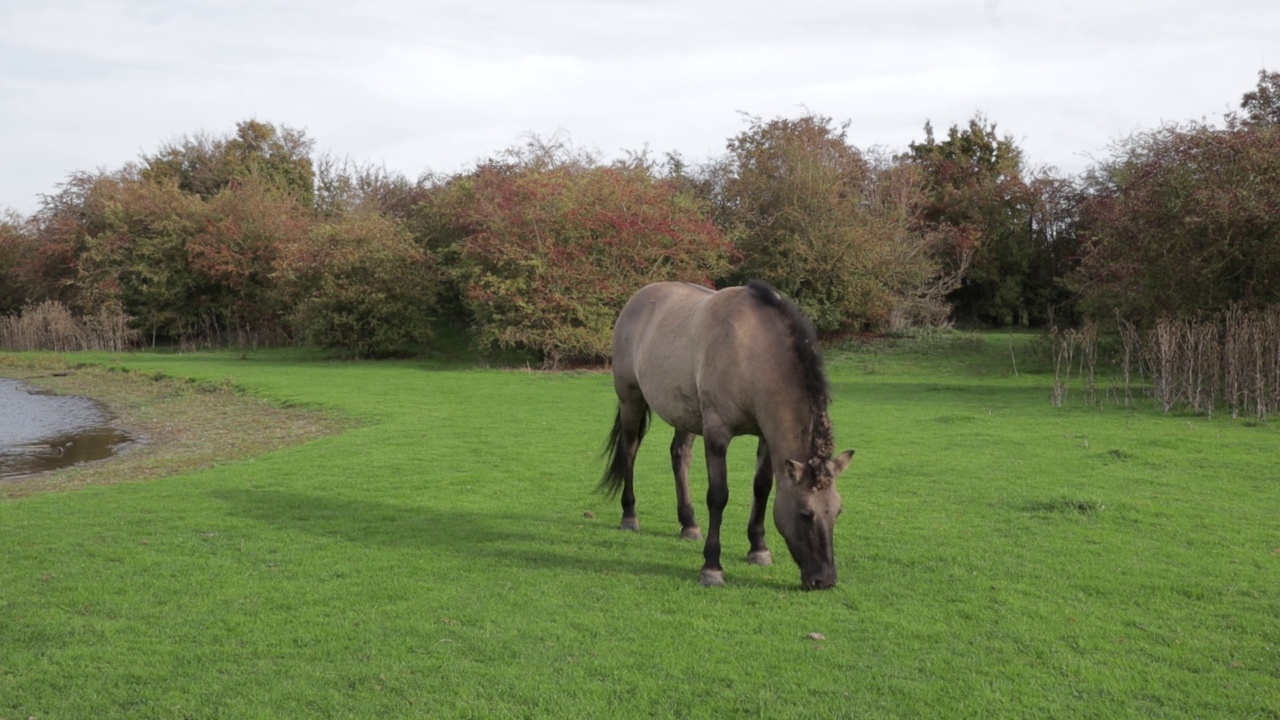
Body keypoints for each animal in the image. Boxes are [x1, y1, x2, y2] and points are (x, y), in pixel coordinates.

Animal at [596, 278, 855, 586]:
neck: (751, 349)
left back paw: (689, 524)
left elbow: (762, 488)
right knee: (630, 452)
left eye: (837, 511)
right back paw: (629, 515)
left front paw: (758, 549)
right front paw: (712, 567)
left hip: (685, 413)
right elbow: (718, 496)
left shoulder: (765, 437)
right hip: (631, 400)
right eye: (806, 513)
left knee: (679, 457)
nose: (824, 579)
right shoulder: (717, 433)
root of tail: (638, 297)